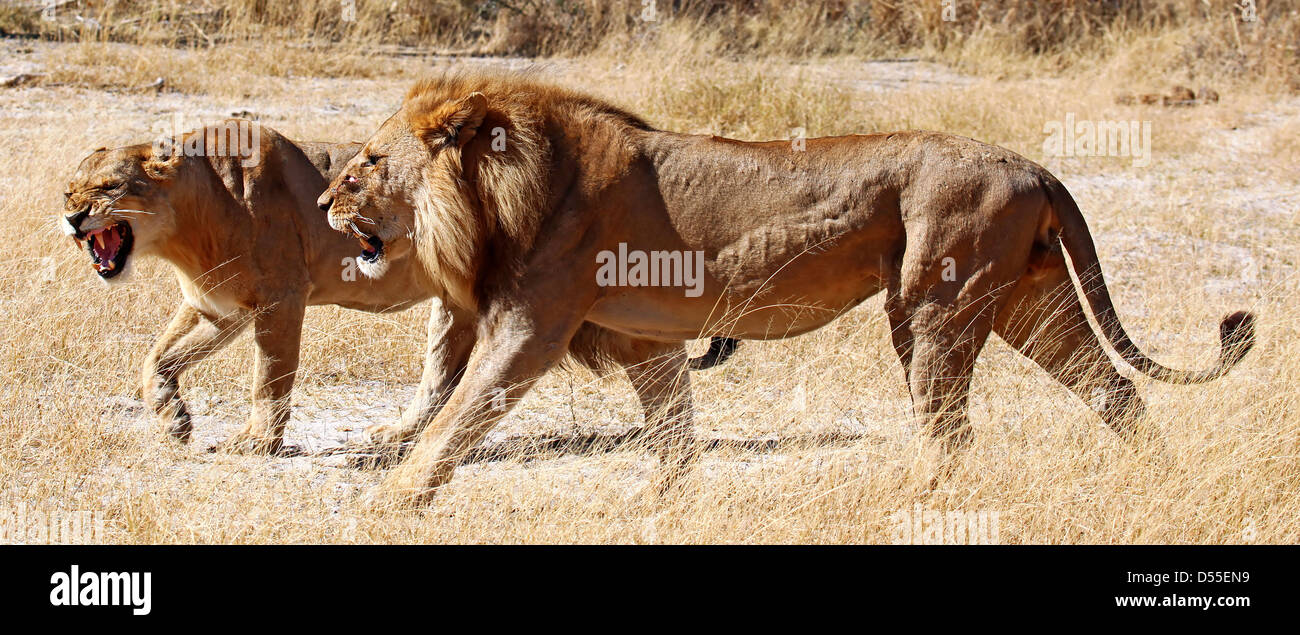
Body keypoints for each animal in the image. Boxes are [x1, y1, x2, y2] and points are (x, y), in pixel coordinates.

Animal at [62, 121, 735, 455]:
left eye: (106, 189)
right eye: (69, 191)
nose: (72, 218)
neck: (185, 229)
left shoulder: (279, 301)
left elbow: (270, 377)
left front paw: (256, 442)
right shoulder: (217, 307)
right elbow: (155, 360)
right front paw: (175, 421)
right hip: (455, 308)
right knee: (440, 382)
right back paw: (398, 436)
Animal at [317, 72, 1256, 506]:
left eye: (367, 162)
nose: (324, 202)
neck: (501, 192)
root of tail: (1033, 163)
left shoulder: (531, 326)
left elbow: (461, 412)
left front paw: (396, 498)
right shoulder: (645, 336)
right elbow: (673, 428)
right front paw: (663, 501)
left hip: (933, 308)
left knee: (951, 428)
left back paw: (913, 501)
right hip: (1029, 299)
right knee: (1114, 388)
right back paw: (1164, 482)